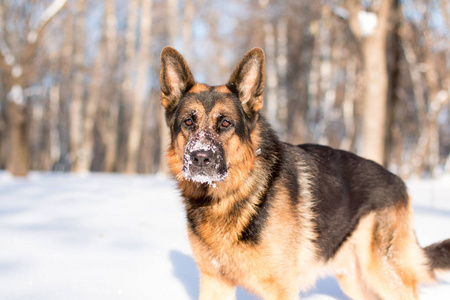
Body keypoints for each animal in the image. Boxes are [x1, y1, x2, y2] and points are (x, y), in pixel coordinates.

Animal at [160, 45, 448, 298]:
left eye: (226, 123)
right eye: (188, 121)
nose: (200, 157)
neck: (231, 194)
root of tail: (399, 181)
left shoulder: (282, 288)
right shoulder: (215, 282)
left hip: (383, 272)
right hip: (355, 281)